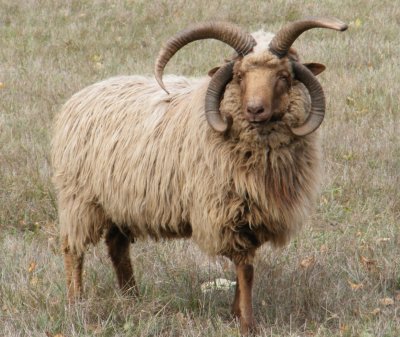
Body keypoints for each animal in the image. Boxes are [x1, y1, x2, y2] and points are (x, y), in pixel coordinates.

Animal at [52, 17, 346, 332]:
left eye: (283, 75)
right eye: (239, 75)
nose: (255, 109)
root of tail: (82, 95)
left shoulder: (252, 214)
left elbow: (247, 267)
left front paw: (236, 313)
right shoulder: (227, 211)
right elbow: (245, 268)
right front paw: (247, 324)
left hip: (119, 202)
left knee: (117, 246)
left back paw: (131, 296)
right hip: (80, 199)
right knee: (73, 249)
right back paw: (76, 303)